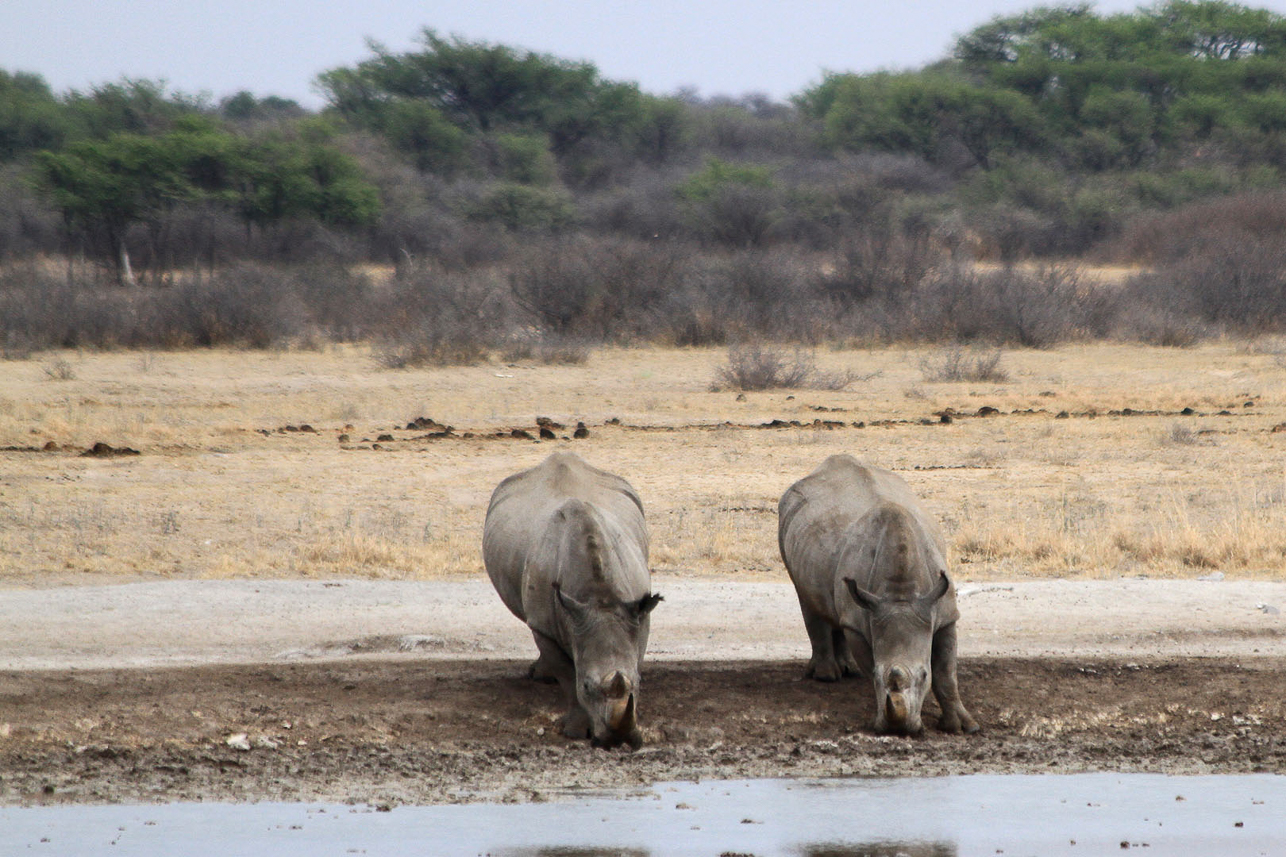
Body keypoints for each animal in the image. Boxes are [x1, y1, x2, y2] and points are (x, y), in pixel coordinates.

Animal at [483, 450, 663, 746]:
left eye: (637, 684)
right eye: (586, 686)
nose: (617, 740)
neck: (598, 598)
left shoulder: (638, 616)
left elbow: (635, 658)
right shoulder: (544, 626)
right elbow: (567, 676)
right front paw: (576, 732)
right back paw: (540, 677)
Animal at [776, 452, 977, 736]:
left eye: (923, 676)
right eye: (877, 677)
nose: (900, 730)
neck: (901, 595)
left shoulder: (945, 613)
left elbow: (947, 674)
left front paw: (962, 727)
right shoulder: (863, 622)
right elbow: (870, 661)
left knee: (836, 608)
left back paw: (847, 670)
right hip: (787, 518)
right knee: (807, 598)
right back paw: (827, 676)